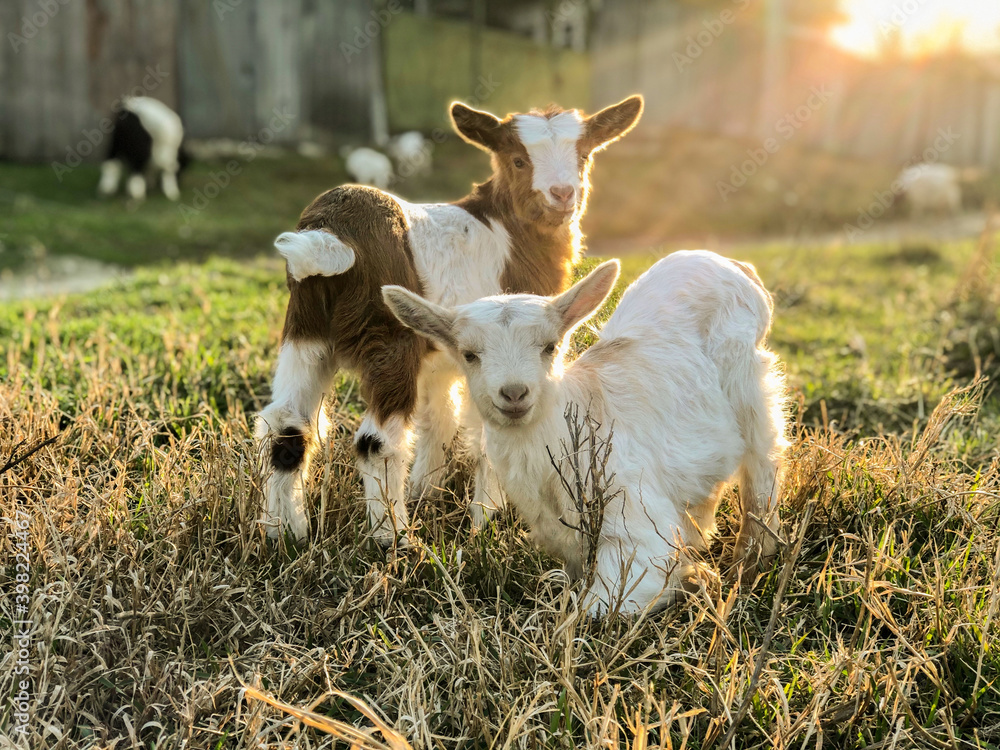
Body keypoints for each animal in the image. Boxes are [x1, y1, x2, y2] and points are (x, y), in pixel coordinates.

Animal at [256, 96, 644, 545]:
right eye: (517, 160)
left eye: (583, 156)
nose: (562, 195)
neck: (509, 231)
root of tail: (328, 235)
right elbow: (490, 431)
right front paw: (486, 520)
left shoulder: (442, 357)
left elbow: (438, 420)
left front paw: (428, 494)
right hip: (388, 339)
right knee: (375, 439)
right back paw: (394, 539)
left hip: (305, 331)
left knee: (286, 424)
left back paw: (284, 532)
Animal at [383, 250, 787, 616]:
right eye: (469, 354)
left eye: (550, 347)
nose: (514, 393)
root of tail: (733, 264)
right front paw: (692, 577)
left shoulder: (633, 521)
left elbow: (596, 609)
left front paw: (687, 582)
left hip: (750, 381)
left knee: (764, 460)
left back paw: (751, 558)